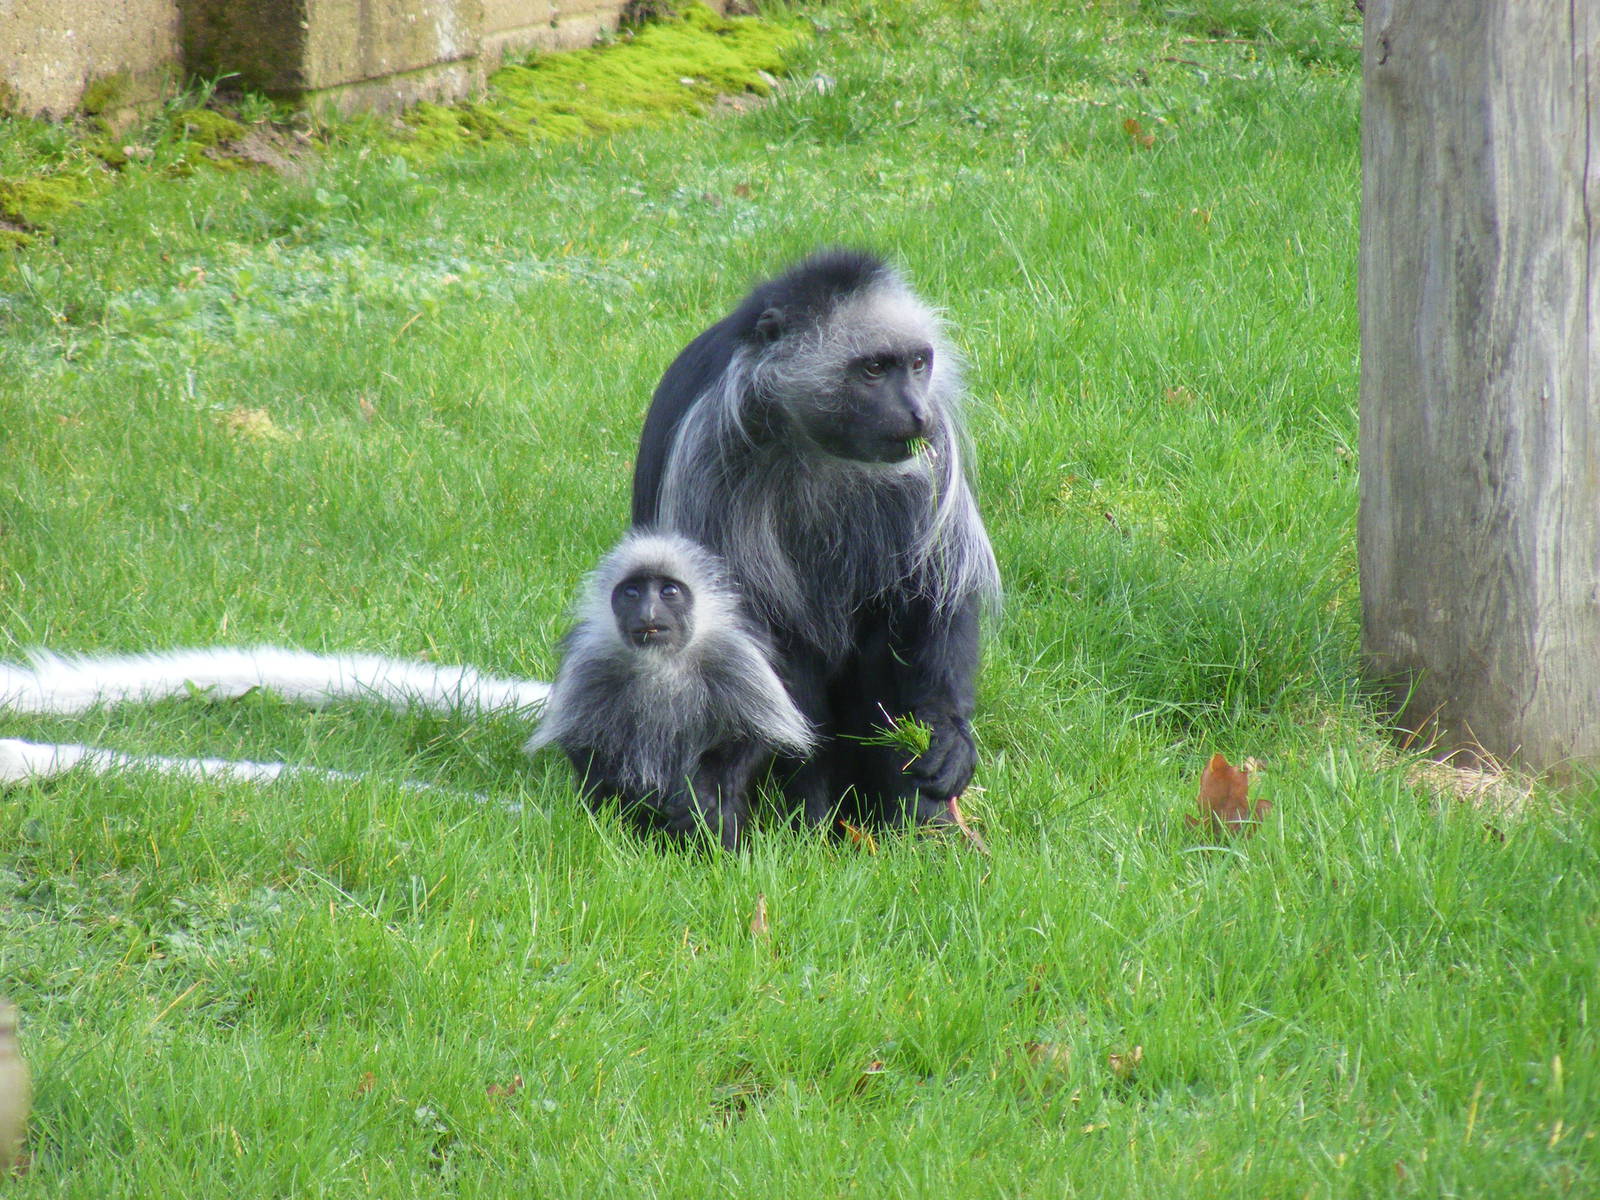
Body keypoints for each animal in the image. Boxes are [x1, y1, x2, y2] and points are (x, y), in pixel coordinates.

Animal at [524, 530, 814, 849]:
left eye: (669, 591)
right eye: (632, 593)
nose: (648, 614)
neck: (663, 662)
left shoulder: (737, 659)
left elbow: (753, 739)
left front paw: (703, 800)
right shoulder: (589, 662)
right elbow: (584, 744)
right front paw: (641, 798)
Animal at [632, 248, 1001, 829]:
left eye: (918, 364)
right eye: (874, 369)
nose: (916, 412)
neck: (815, 440)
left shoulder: (934, 453)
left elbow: (936, 591)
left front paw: (947, 736)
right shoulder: (709, 449)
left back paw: (917, 821)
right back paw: (811, 816)